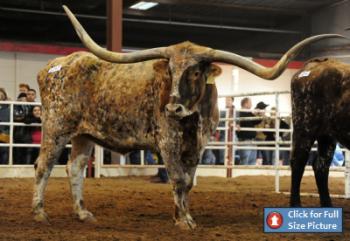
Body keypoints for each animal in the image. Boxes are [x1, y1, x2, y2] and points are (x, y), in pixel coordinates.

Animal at [32, 4, 344, 229]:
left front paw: (181, 214)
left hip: (84, 135)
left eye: (195, 71)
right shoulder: (168, 142)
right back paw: (39, 213)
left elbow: (188, 181)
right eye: (170, 70)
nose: (172, 109)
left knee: (75, 169)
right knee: (43, 166)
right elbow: (178, 179)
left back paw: (83, 213)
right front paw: (184, 221)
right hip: (56, 128)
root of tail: (58, 64)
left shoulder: (198, 145)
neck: (194, 116)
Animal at [292, 58, 350, 207]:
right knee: (298, 162)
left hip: (327, 136)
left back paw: (327, 204)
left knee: (321, 166)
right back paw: (295, 203)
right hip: (304, 128)